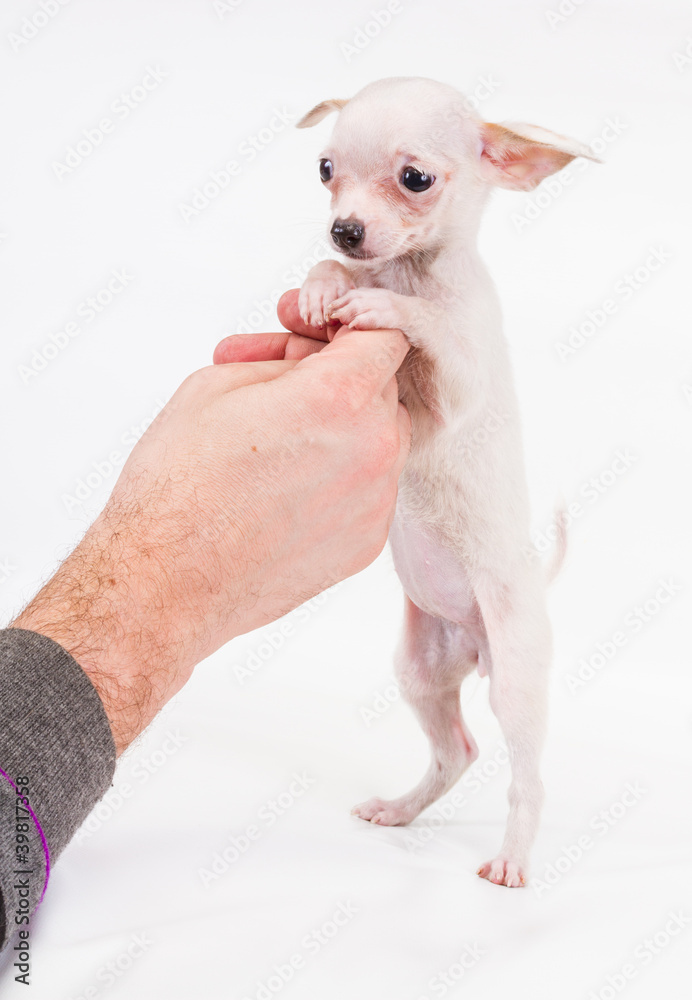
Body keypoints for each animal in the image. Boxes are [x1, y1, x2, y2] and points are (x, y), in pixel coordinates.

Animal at [294, 80, 596, 892]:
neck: (408, 269)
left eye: (415, 179)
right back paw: (401, 810)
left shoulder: (457, 386)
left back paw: (513, 857)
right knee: (456, 750)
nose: (343, 231)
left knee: (527, 777)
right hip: (421, 671)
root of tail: (473, 640)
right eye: (325, 169)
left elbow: (426, 323)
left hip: (514, 677)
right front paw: (322, 285)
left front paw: (387, 307)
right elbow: (333, 283)